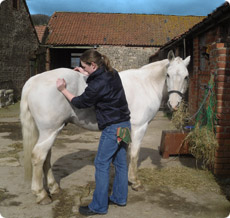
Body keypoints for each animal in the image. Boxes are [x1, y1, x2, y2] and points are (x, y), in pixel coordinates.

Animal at [19, 50, 190, 204]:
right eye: (168, 75)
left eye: (186, 76)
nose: (174, 104)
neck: (145, 84)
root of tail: (34, 81)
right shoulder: (139, 128)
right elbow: (134, 155)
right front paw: (135, 182)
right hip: (50, 131)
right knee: (39, 156)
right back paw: (41, 194)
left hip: (49, 132)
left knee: (46, 157)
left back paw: (54, 188)